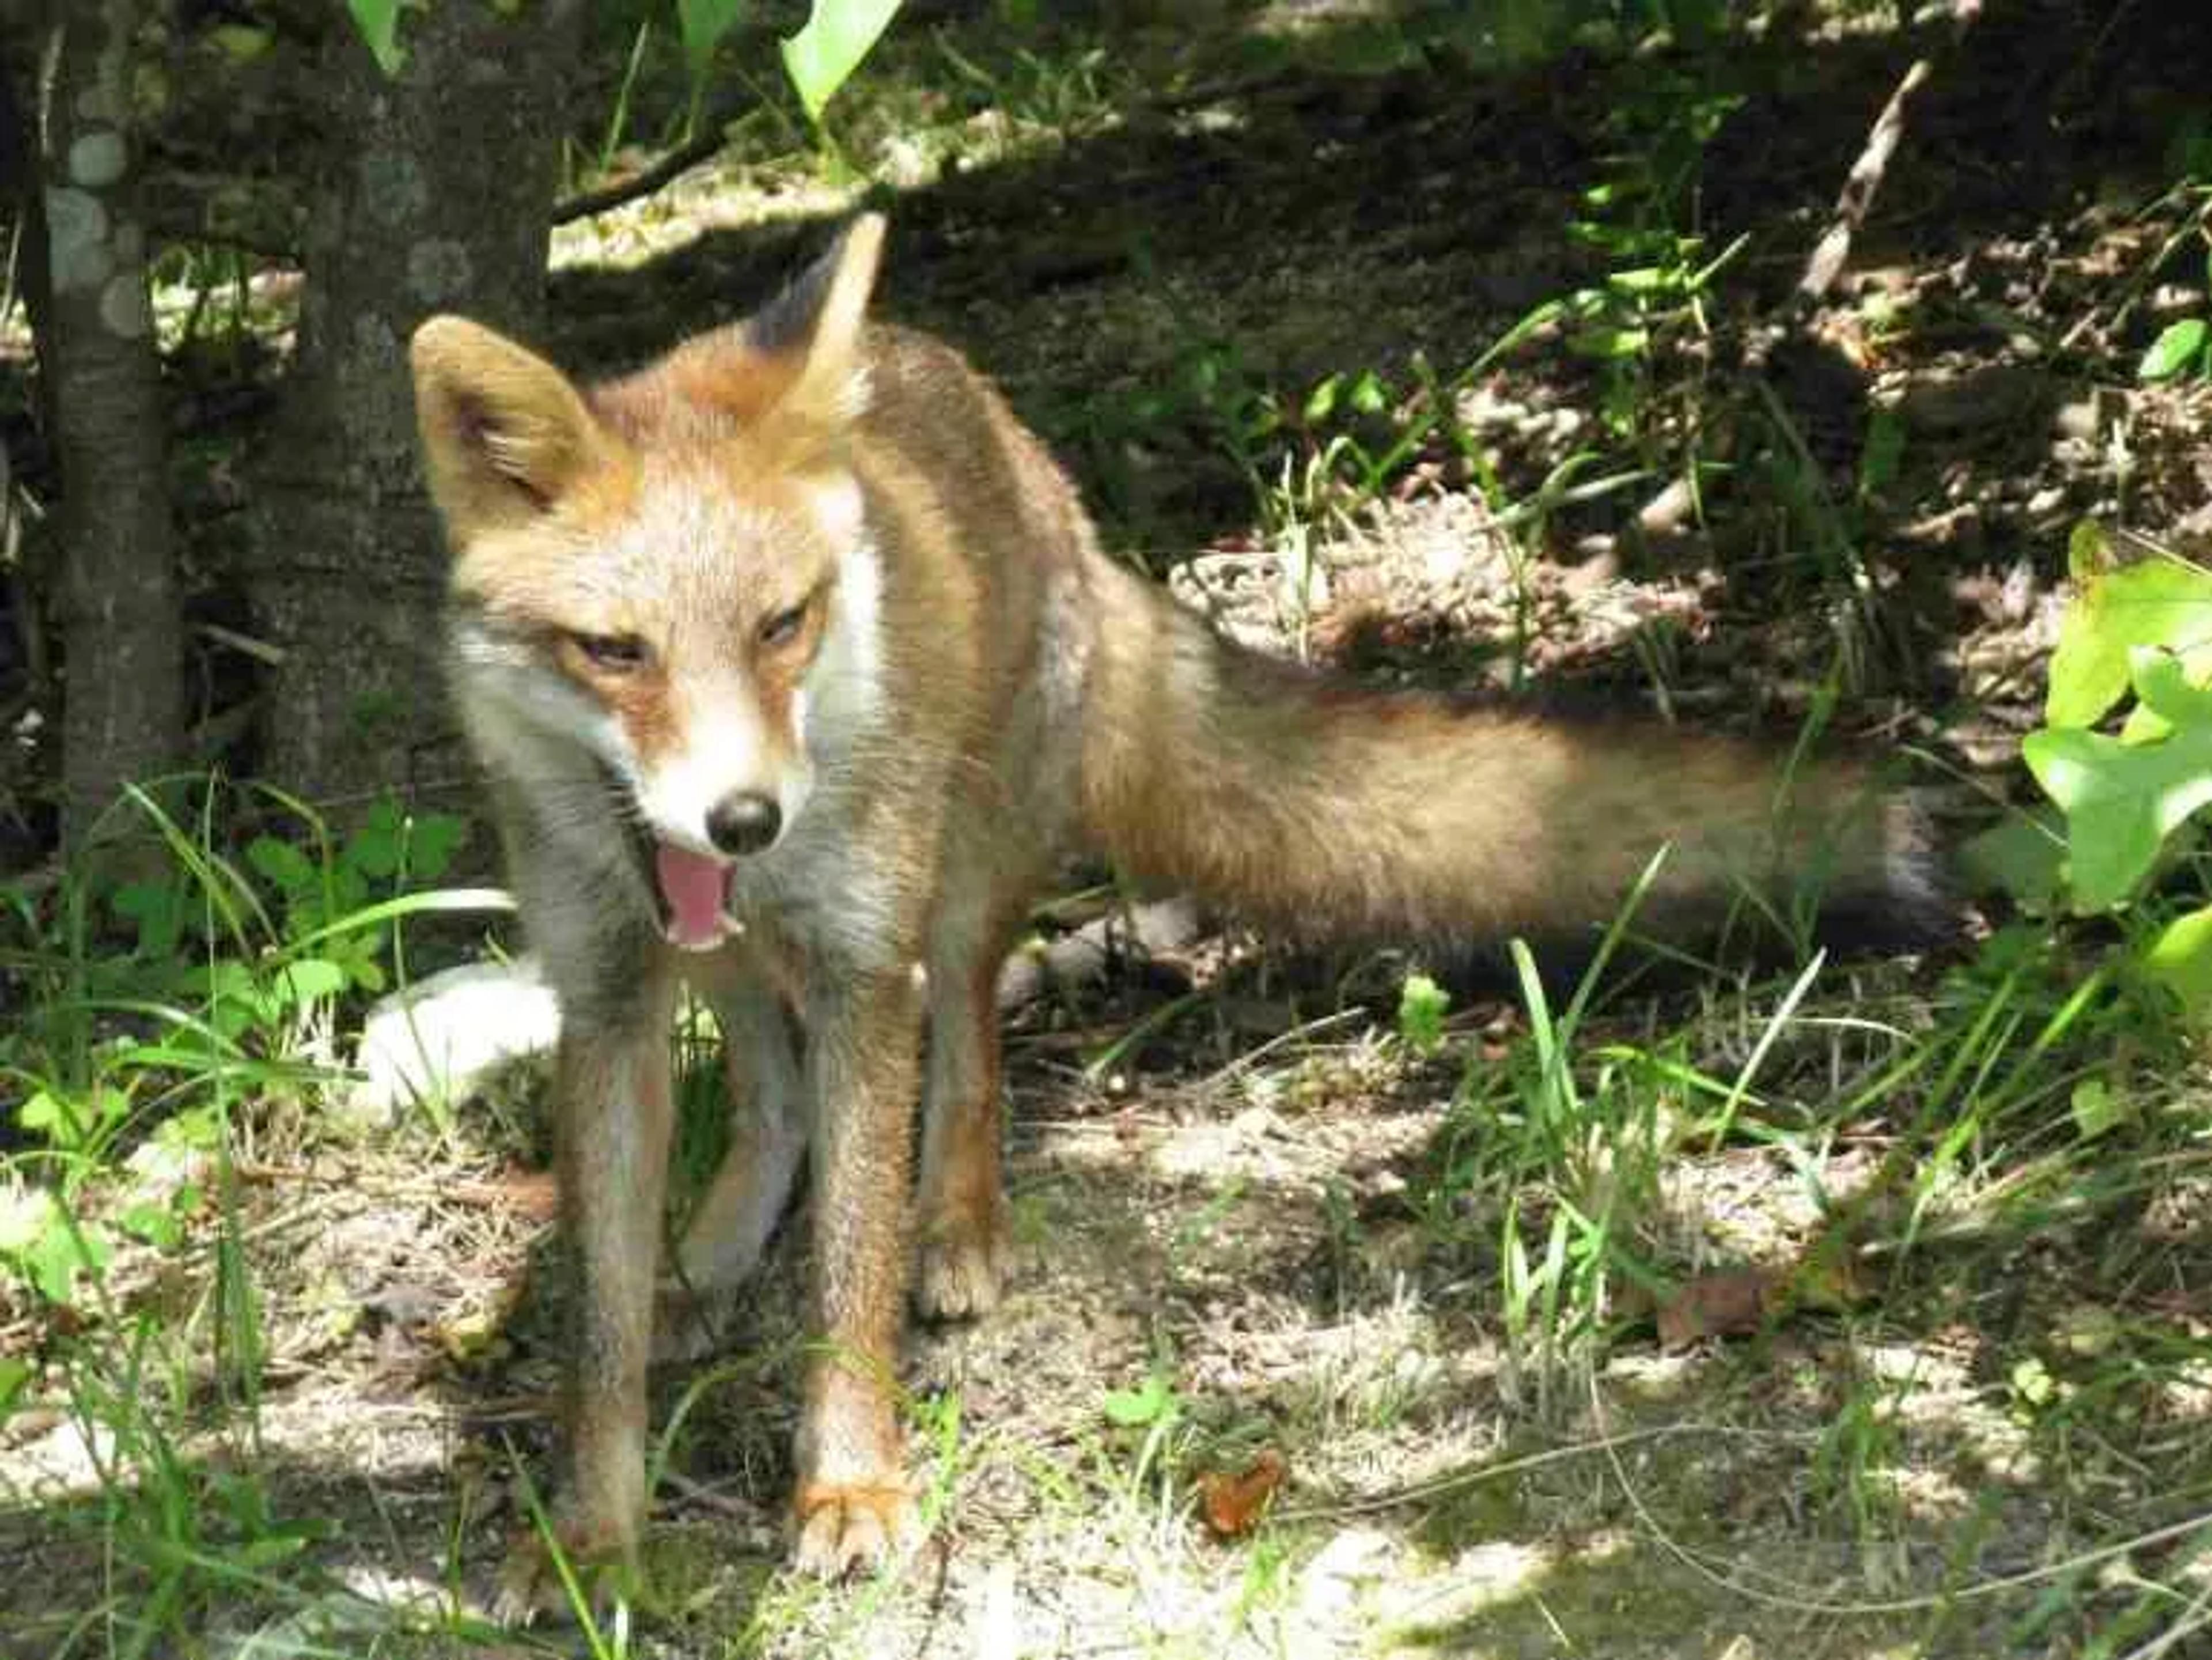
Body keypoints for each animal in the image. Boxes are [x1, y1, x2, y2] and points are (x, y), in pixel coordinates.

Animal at [409, 213, 1942, 1620]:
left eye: (783, 624)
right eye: (615, 652)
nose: (744, 820)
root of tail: (1008, 432)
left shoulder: (859, 963)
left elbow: (850, 1278)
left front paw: (851, 1487)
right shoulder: (607, 991)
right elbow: (603, 1334)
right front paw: (591, 1535)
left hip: (953, 882)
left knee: (968, 1053)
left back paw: (956, 1229)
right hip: (733, 950)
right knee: (773, 1090)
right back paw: (718, 1249)